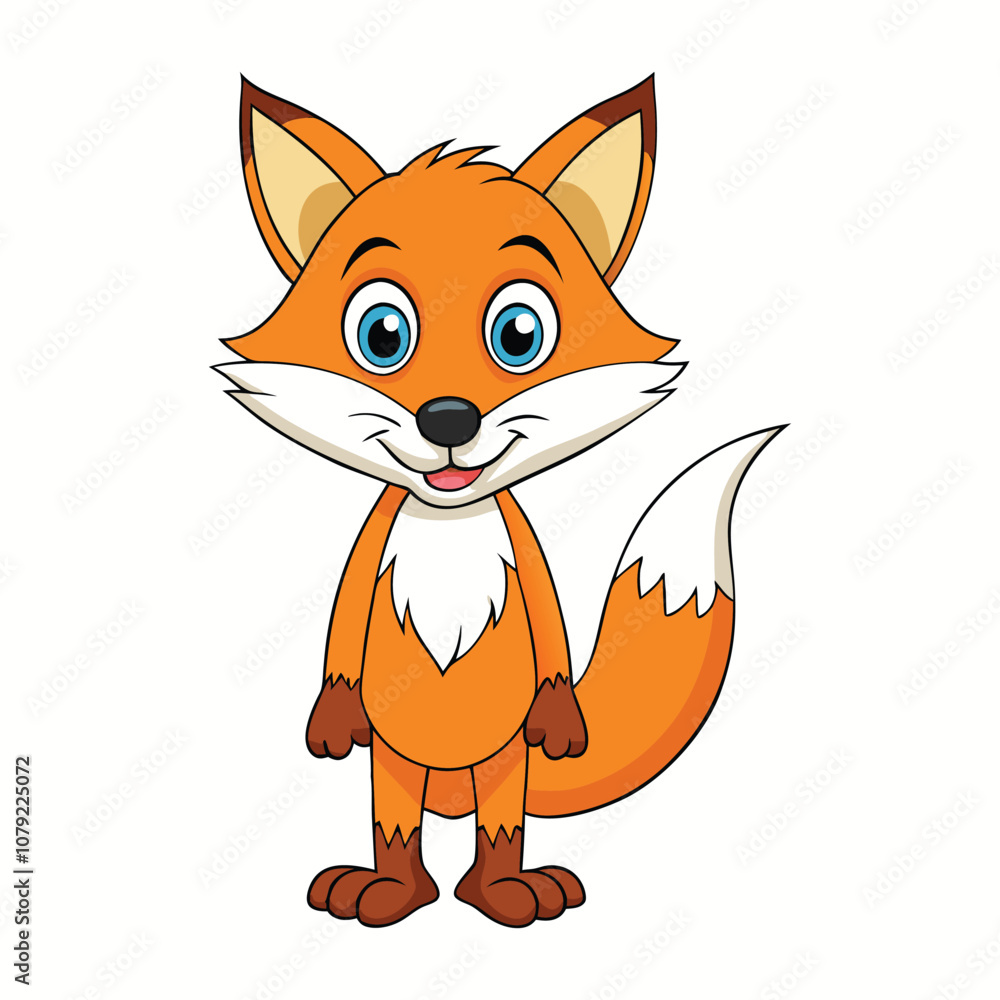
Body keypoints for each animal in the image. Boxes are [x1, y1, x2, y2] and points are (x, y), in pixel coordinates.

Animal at [216, 75, 784, 928]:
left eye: (519, 333)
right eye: (382, 334)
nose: (449, 418)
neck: (447, 522)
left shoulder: (523, 550)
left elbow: (550, 634)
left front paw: (564, 722)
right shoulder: (372, 544)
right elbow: (344, 633)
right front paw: (332, 719)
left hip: (502, 763)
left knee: (501, 819)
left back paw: (505, 890)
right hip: (396, 763)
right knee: (395, 816)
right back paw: (391, 890)